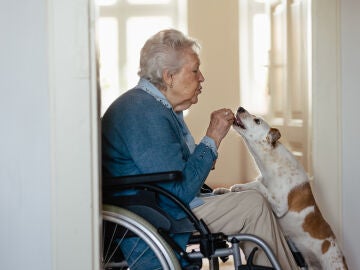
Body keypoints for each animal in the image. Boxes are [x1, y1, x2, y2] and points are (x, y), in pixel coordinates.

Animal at [215, 107, 348, 270]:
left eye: (257, 120)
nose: (240, 108)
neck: (272, 163)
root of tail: (343, 259)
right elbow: (250, 186)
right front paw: (224, 190)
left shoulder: (279, 206)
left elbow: (257, 185)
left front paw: (238, 186)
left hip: (332, 264)